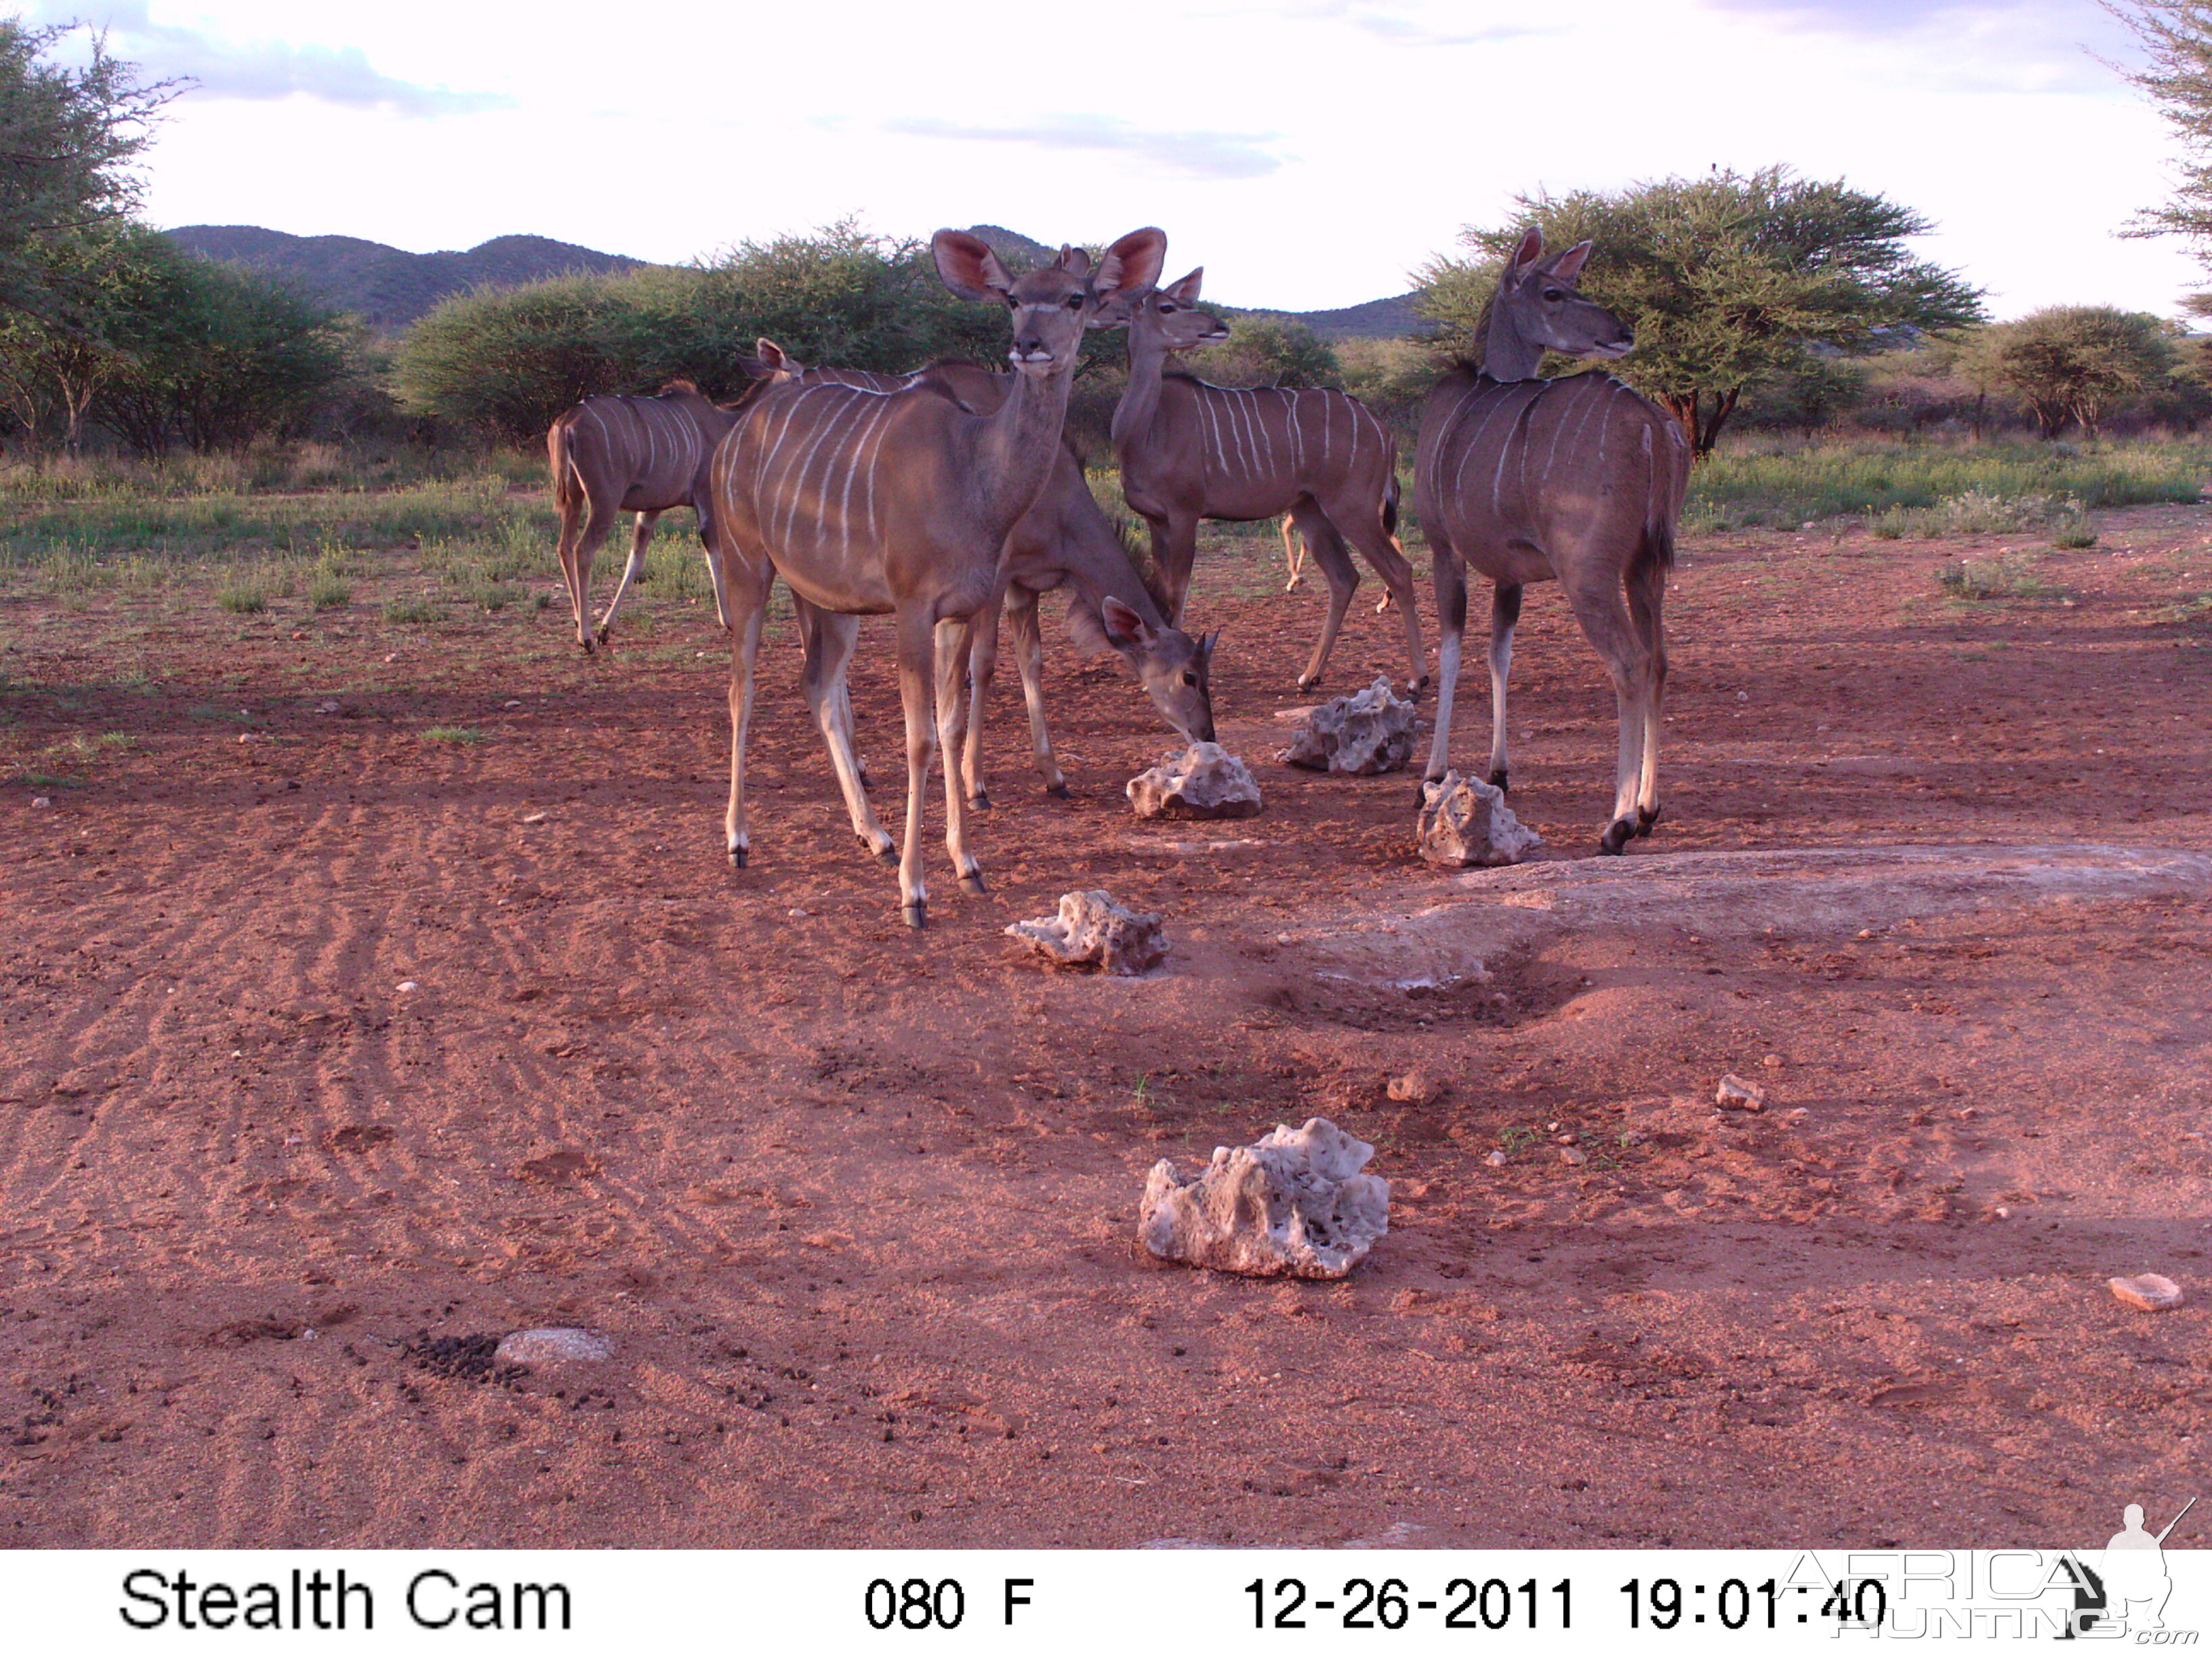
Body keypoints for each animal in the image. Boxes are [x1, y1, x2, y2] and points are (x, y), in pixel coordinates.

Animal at [548, 387, 739, 655]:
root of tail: (567, 423)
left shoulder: (652, 509)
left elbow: (635, 560)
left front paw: (607, 628)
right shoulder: (705, 497)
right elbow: (714, 555)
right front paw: (728, 620)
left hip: (572, 500)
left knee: (564, 547)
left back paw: (579, 622)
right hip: (605, 502)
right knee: (582, 550)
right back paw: (585, 637)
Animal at [708, 228, 1168, 928]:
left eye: (1075, 298)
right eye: (1012, 298)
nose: (1029, 346)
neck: (973, 472)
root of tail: (734, 436)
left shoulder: (959, 608)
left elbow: (951, 725)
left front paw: (967, 865)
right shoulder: (912, 607)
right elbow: (919, 737)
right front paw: (915, 894)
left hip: (829, 599)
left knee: (816, 686)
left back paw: (873, 834)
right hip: (748, 568)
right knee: (743, 689)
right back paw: (738, 842)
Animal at [1115, 267, 1425, 694]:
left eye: (1182, 302)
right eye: (1167, 307)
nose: (1218, 326)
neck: (1144, 431)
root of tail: (1386, 431)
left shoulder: (1184, 515)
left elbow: (1178, 593)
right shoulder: (1155, 520)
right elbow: (1161, 594)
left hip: (1352, 509)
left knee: (1399, 570)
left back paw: (1416, 679)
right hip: (1311, 509)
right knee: (1345, 577)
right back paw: (1309, 676)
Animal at [1415, 234, 1689, 858]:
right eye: (1554, 292)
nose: (1624, 331)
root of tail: (1652, 425)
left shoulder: (1445, 548)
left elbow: (1452, 649)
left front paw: (1434, 775)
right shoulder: (1509, 571)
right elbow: (1500, 652)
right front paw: (1498, 771)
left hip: (1588, 572)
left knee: (1630, 663)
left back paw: (1617, 824)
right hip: (1645, 568)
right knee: (1659, 659)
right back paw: (1649, 808)